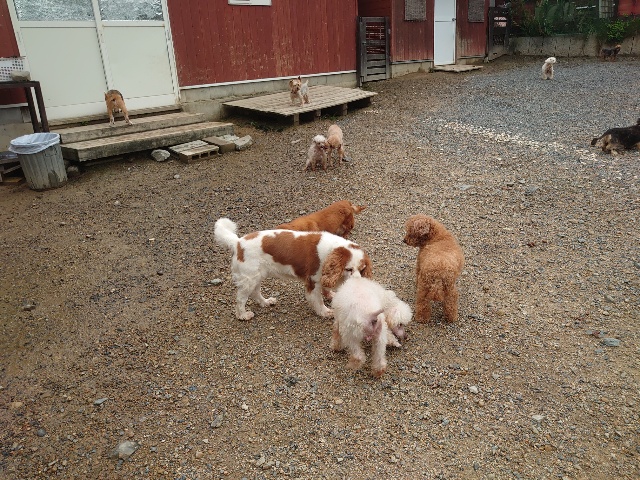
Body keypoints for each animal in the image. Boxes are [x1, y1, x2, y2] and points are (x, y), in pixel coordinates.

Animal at [214, 218, 372, 320]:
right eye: (348, 269)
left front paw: (330, 295)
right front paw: (325, 312)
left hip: (256, 276)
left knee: (255, 292)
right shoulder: (312, 281)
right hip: (249, 278)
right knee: (241, 299)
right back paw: (243, 315)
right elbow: (318, 300)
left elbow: (326, 288)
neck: (331, 251)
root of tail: (238, 242)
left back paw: (265, 302)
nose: (358, 284)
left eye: (362, 269)